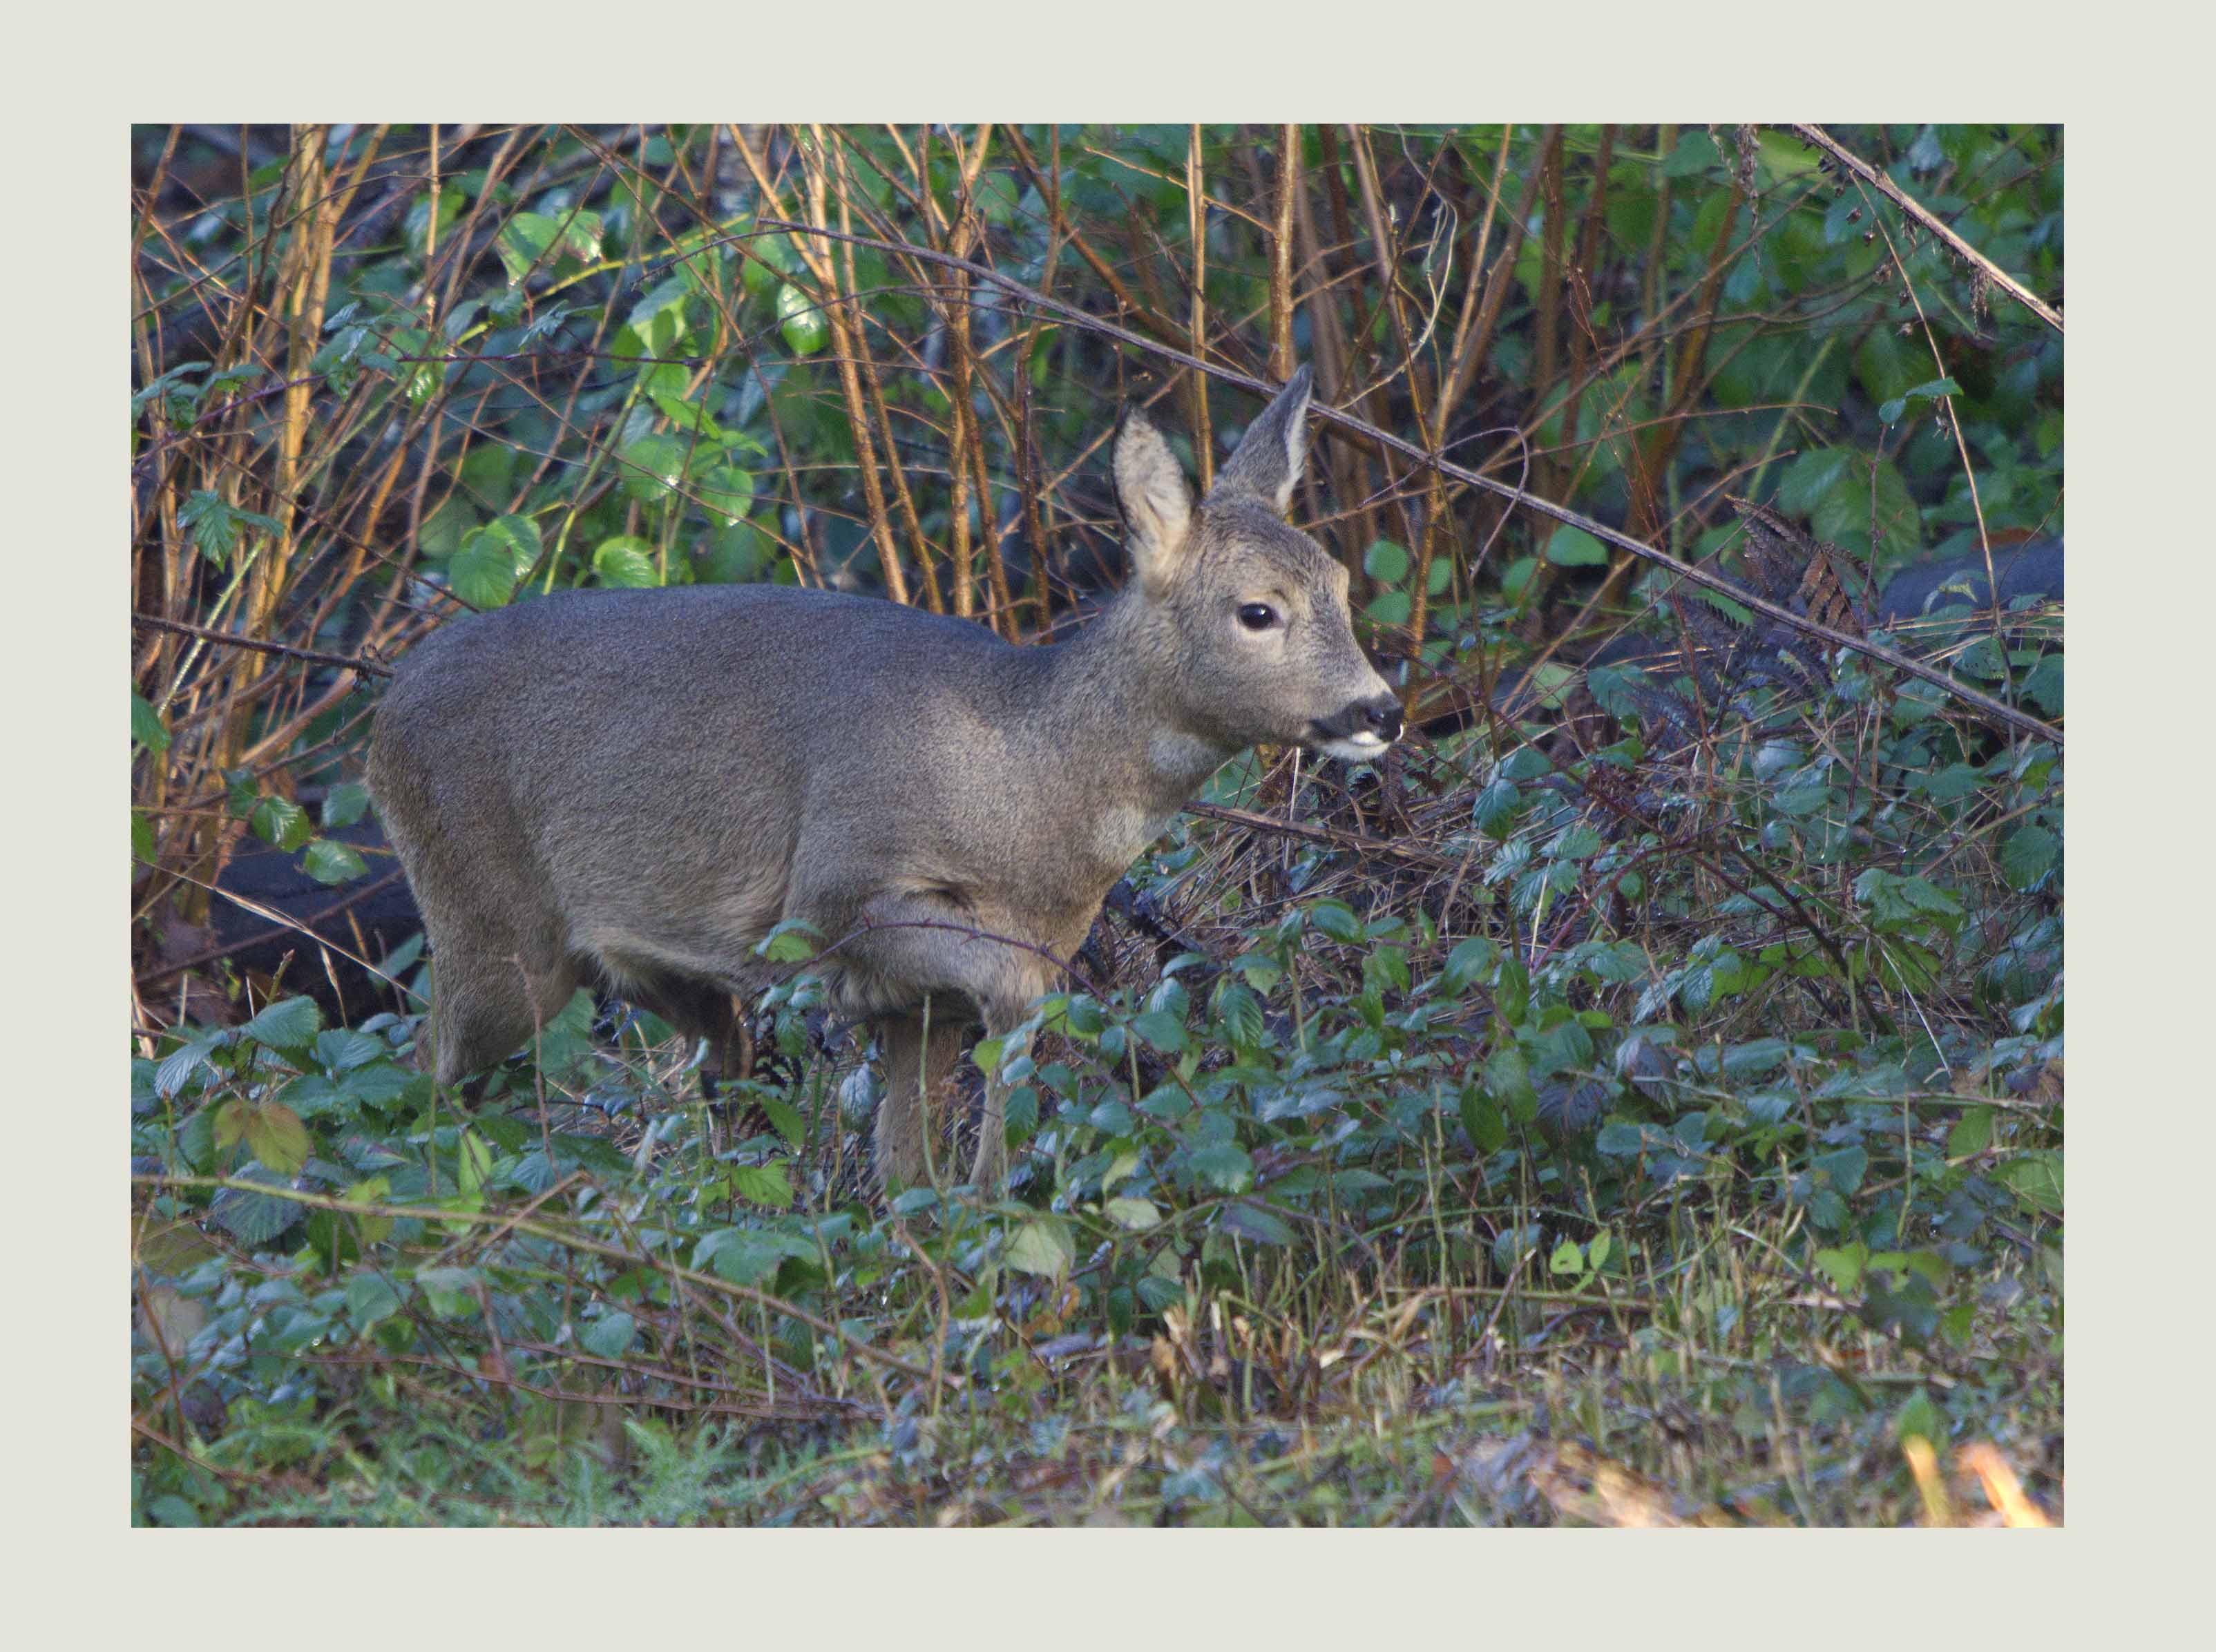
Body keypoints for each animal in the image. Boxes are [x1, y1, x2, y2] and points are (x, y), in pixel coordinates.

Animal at [365, 365, 1402, 1190]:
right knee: (416, 1075)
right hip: (491, 928)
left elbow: (907, 1168)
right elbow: (1012, 1004)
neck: (1027, 792)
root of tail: (383, 709)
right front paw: (999, 1192)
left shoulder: (917, 1003)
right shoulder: (836, 896)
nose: (1378, 711)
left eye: (1342, 586)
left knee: (709, 1074)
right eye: (1257, 610)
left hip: (651, 970)